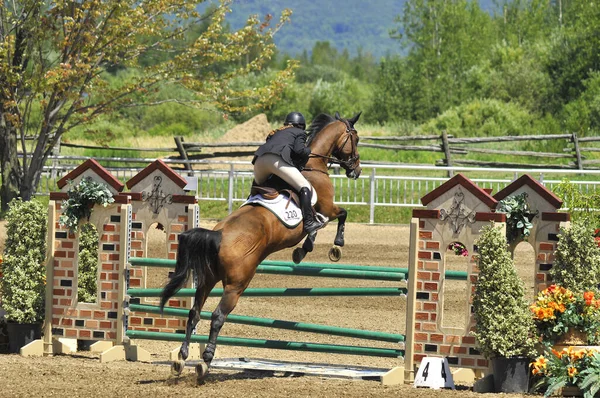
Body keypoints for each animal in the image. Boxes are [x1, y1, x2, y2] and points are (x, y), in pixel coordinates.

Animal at [159, 111, 364, 380]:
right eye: (356, 139)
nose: (356, 170)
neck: (313, 166)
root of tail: (217, 235)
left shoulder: (322, 213)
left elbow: (316, 231)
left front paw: (302, 250)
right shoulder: (327, 208)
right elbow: (339, 215)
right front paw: (335, 246)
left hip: (208, 279)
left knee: (194, 313)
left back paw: (182, 358)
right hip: (237, 285)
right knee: (217, 316)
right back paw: (206, 360)